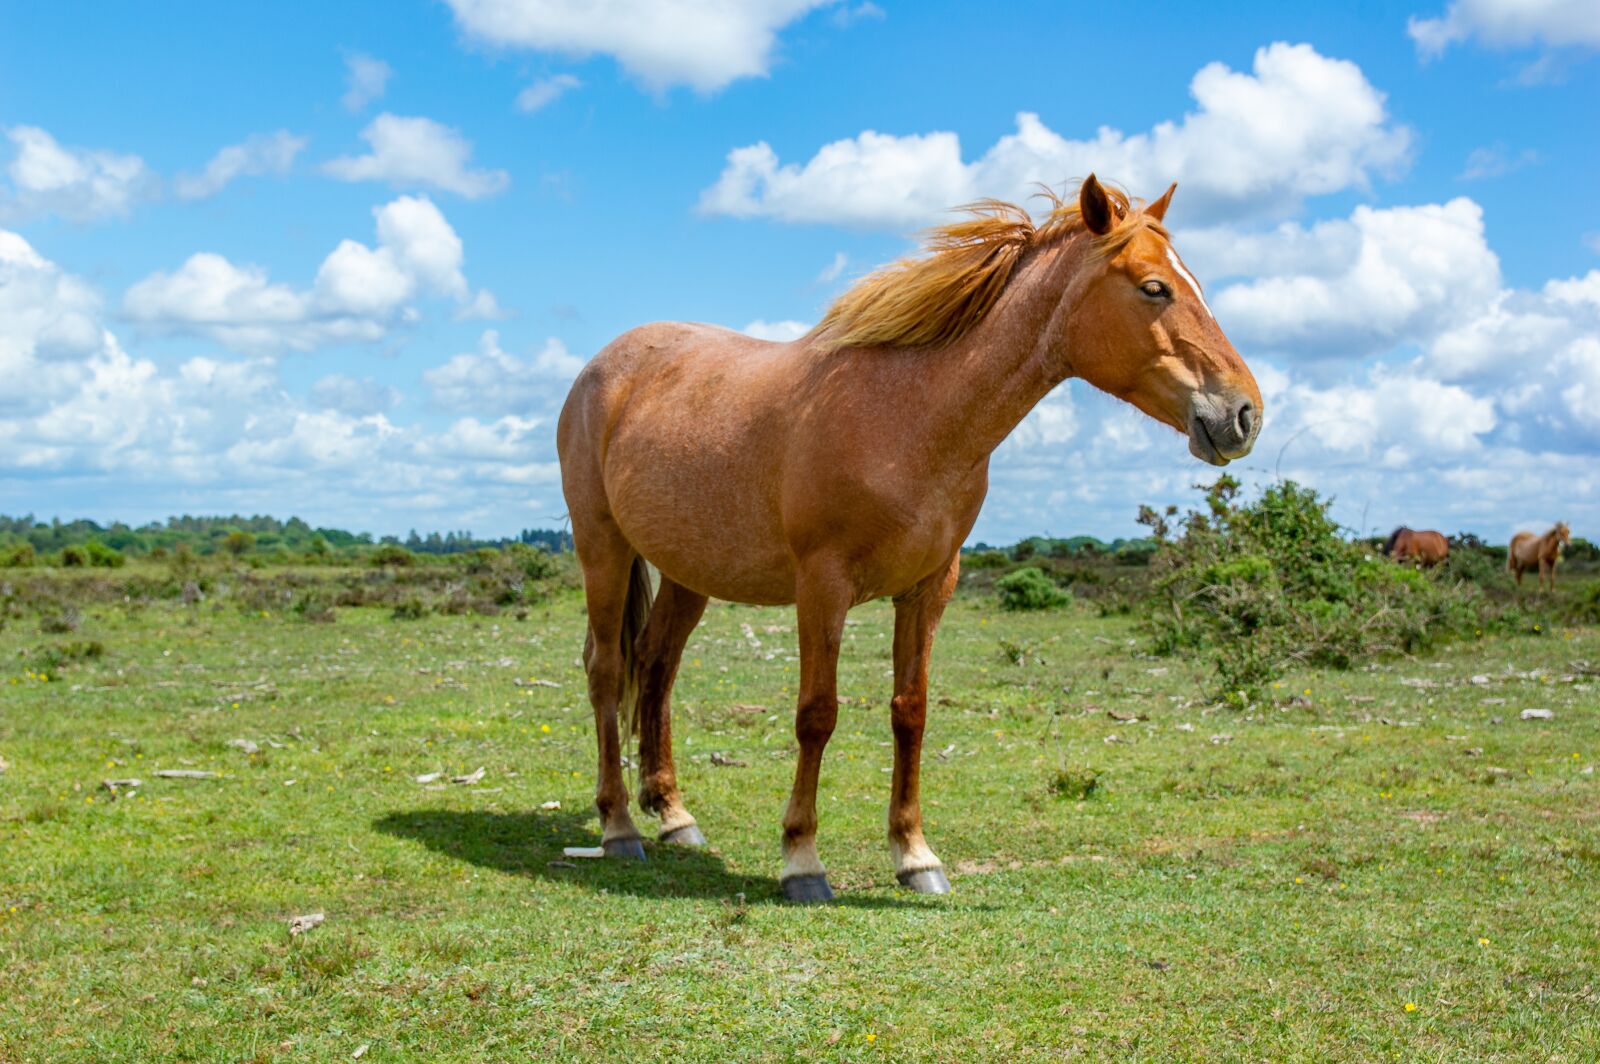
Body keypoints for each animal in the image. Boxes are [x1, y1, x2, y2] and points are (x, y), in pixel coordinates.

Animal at [556, 175, 1262, 902]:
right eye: (1154, 288)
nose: (1243, 413)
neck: (908, 417)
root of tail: (601, 368)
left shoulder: (929, 587)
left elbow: (911, 713)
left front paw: (915, 854)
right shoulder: (823, 585)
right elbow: (817, 714)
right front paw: (802, 858)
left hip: (687, 571)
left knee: (657, 665)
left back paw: (672, 814)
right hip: (603, 548)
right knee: (607, 669)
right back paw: (619, 826)